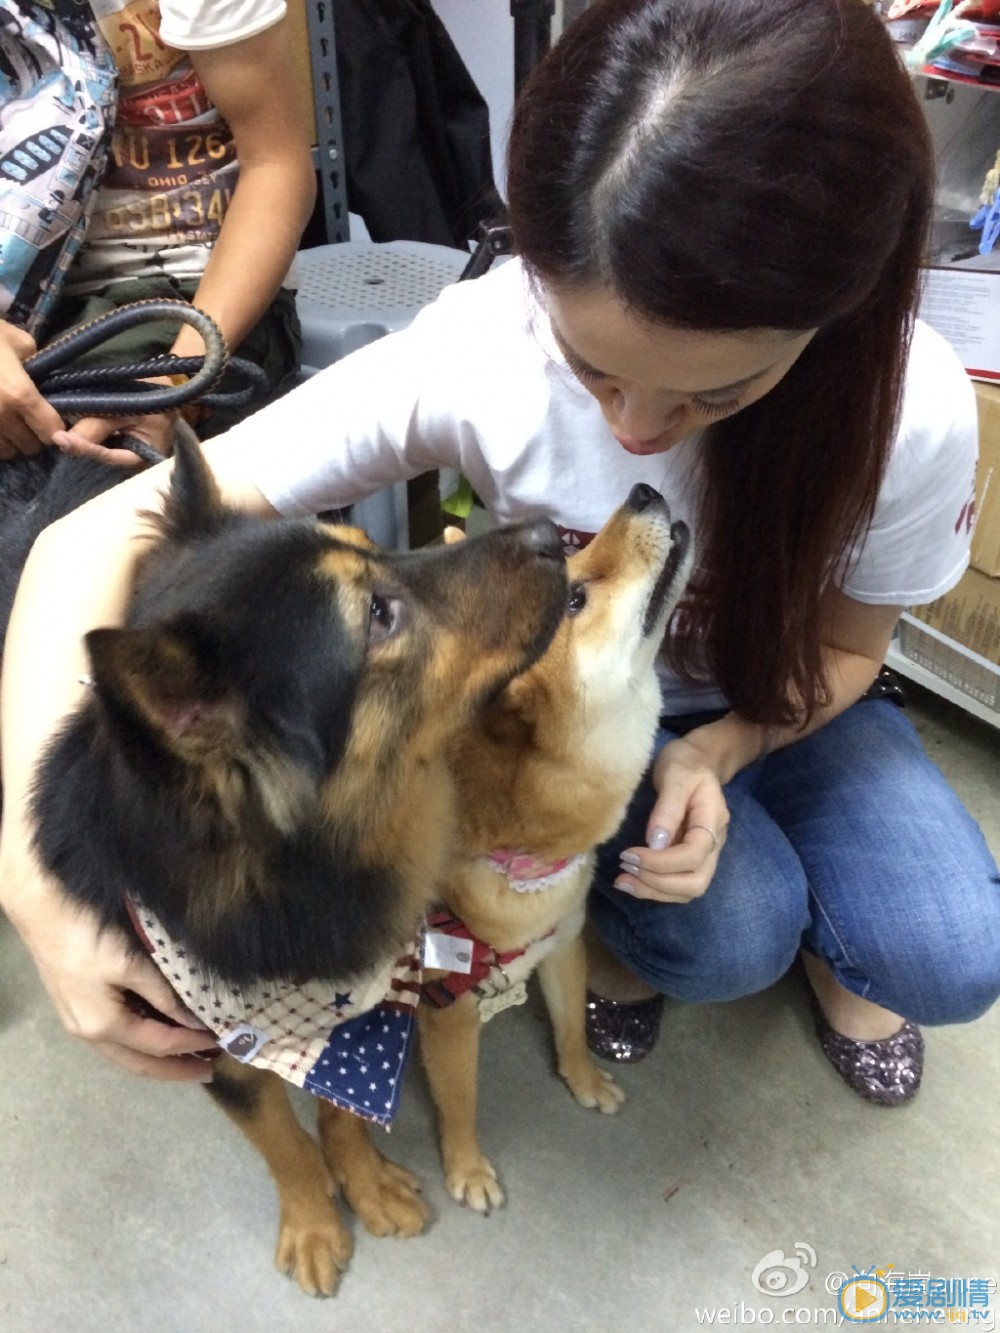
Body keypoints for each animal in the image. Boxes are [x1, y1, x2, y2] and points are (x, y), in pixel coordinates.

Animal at [3, 434, 570, 1290]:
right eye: (378, 614)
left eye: (378, 550)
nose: (551, 534)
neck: (299, 879)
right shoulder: (213, 1048)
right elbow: (280, 1140)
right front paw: (313, 1221)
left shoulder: (361, 998)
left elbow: (338, 1110)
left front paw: (363, 1181)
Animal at [418, 485, 693, 1215]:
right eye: (575, 599)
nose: (644, 492)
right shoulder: (447, 1004)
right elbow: (461, 1099)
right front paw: (468, 1167)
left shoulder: (564, 939)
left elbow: (570, 1027)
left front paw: (584, 1079)